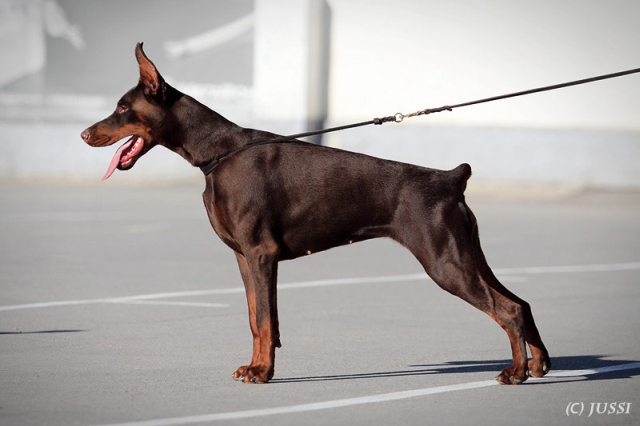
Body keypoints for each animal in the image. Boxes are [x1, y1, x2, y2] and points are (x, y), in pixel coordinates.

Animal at [81, 43, 550, 384]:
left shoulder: (261, 252)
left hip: (445, 262)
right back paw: (539, 364)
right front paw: (255, 365)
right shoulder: (243, 256)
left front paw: (262, 372)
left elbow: (265, 318)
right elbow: (255, 319)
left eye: (122, 108)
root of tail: (451, 179)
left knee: (507, 310)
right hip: (466, 254)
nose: (84, 133)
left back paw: (516, 372)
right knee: (521, 303)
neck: (217, 153)